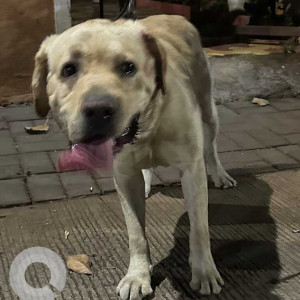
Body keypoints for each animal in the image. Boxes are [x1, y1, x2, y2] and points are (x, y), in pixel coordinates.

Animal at [32, 15, 237, 298]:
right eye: (69, 69)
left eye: (128, 67)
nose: (99, 110)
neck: (148, 127)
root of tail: (172, 16)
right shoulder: (124, 176)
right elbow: (136, 233)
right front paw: (138, 276)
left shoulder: (192, 169)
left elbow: (199, 228)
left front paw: (204, 271)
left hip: (208, 107)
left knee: (211, 146)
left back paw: (220, 174)